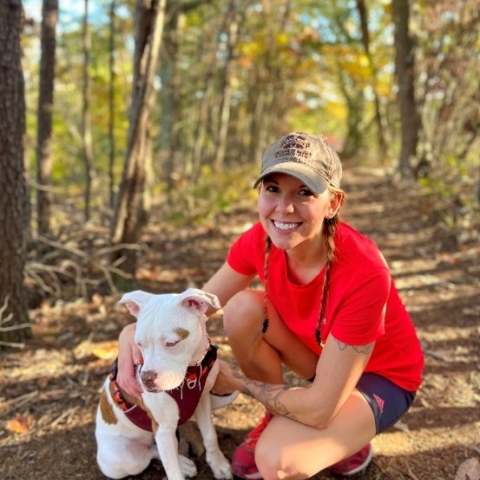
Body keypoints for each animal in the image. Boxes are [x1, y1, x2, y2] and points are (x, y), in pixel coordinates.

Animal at [95, 288, 232, 480]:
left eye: (171, 343)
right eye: (139, 344)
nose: (145, 379)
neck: (191, 372)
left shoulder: (203, 400)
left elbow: (210, 435)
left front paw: (218, 465)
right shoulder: (163, 429)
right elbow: (172, 470)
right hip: (123, 458)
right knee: (152, 453)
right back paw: (183, 464)